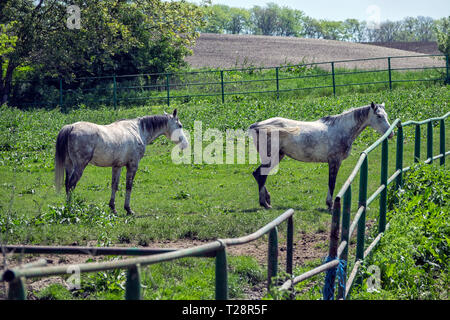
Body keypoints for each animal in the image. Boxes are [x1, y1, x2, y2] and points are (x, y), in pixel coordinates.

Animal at [54, 109, 188, 215]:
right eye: (180, 125)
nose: (185, 144)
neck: (138, 130)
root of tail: (71, 127)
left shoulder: (117, 166)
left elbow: (115, 185)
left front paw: (113, 208)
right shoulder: (132, 165)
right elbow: (129, 186)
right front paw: (128, 209)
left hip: (69, 165)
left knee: (67, 184)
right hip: (79, 166)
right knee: (71, 185)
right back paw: (71, 208)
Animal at [250, 101, 394, 209]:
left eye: (386, 115)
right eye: (379, 116)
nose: (391, 133)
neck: (340, 129)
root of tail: (256, 125)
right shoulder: (334, 161)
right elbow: (332, 183)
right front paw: (330, 205)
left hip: (278, 156)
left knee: (259, 175)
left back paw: (267, 200)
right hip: (272, 157)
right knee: (260, 175)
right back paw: (265, 204)